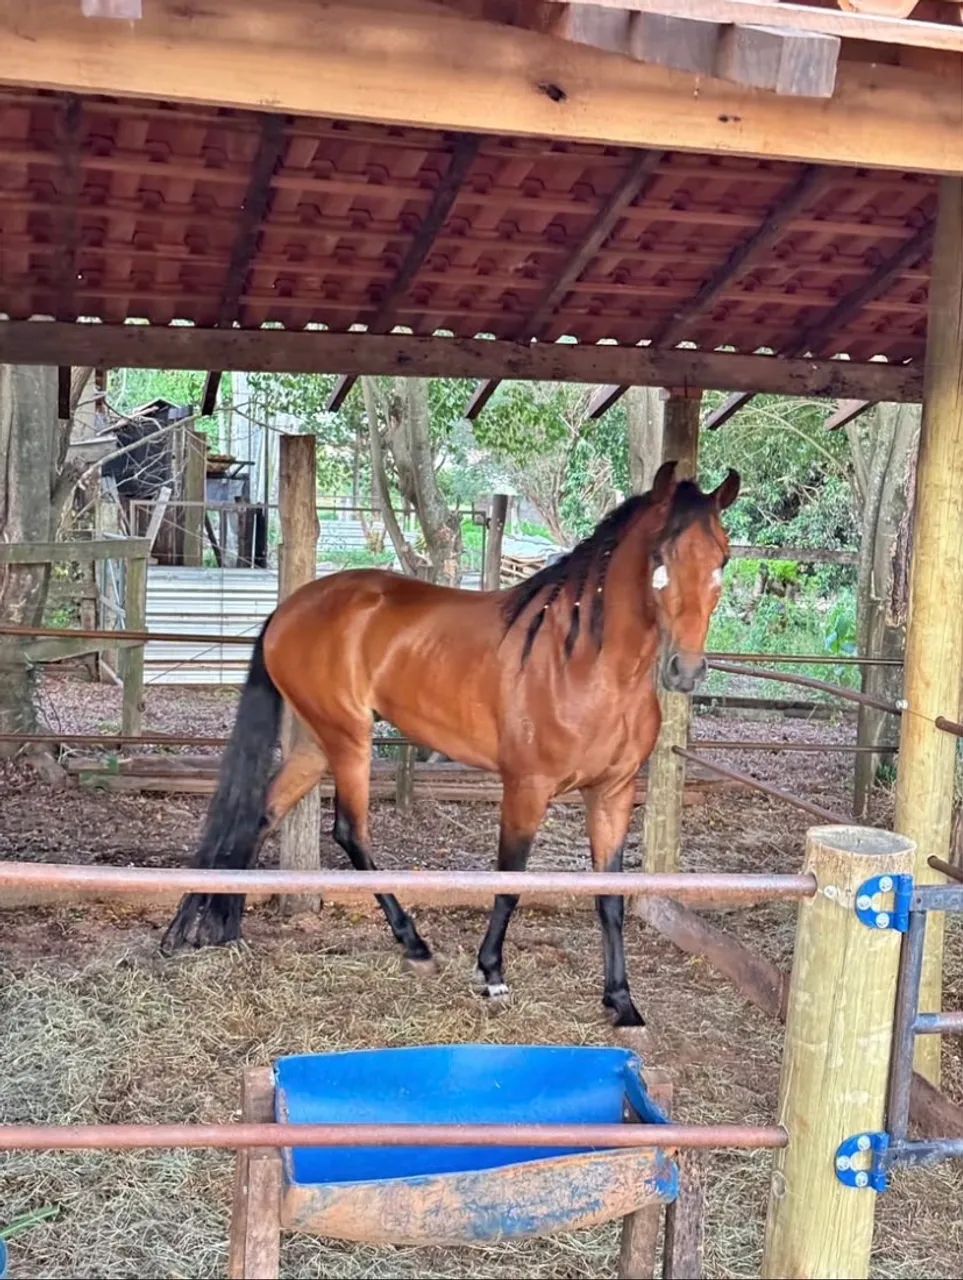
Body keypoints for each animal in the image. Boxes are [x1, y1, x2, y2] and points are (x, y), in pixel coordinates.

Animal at [161, 460, 739, 1028]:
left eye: (723, 558)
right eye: (661, 558)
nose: (686, 670)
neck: (587, 666)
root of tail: (289, 610)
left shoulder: (613, 794)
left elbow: (610, 899)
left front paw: (621, 1002)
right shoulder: (526, 789)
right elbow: (510, 879)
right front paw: (492, 972)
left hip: (315, 746)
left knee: (259, 816)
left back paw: (210, 928)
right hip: (349, 740)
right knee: (350, 832)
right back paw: (413, 943)